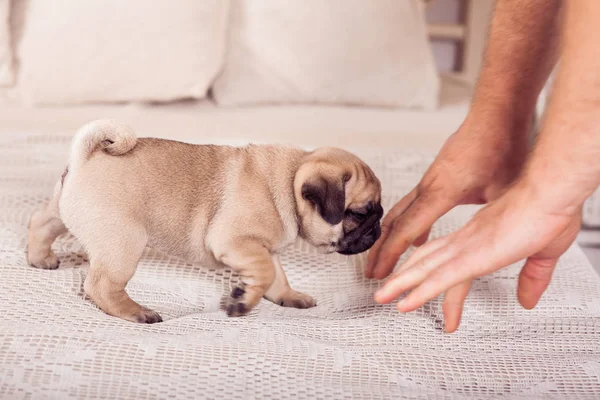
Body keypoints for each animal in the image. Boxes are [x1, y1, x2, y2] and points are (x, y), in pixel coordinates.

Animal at [25, 119, 382, 322]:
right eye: (359, 213)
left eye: (376, 212)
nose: (377, 229)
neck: (289, 180)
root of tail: (86, 157)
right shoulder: (236, 242)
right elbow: (265, 274)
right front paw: (243, 302)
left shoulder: (264, 249)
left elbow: (276, 277)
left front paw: (288, 296)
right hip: (124, 242)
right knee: (100, 286)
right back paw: (136, 312)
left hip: (63, 210)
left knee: (42, 222)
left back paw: (40, 258)